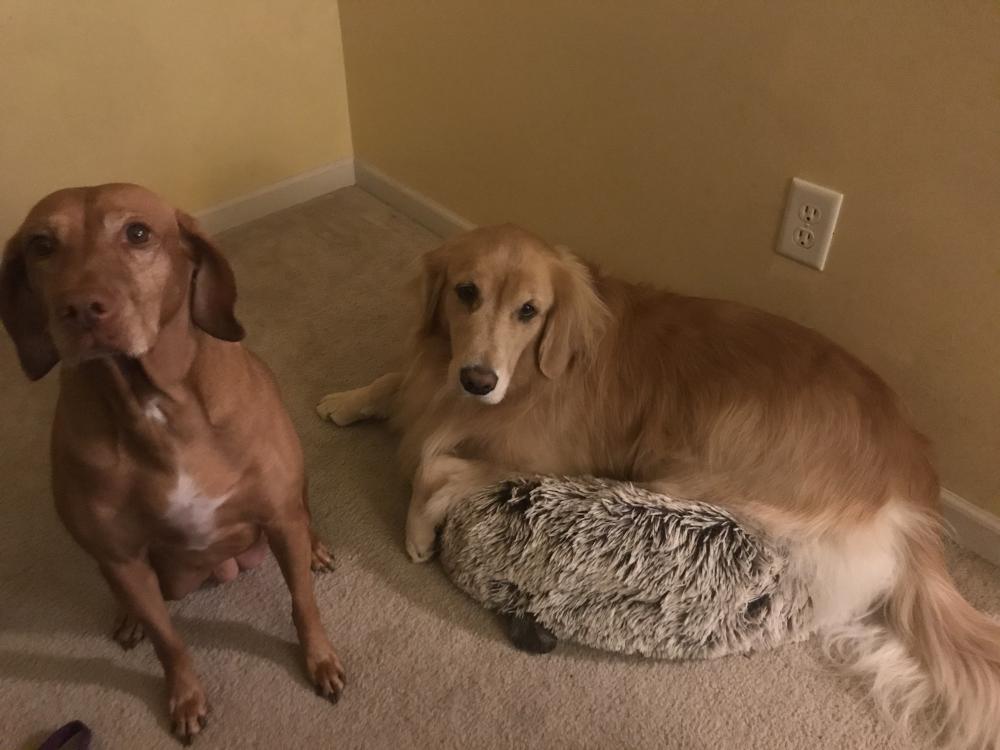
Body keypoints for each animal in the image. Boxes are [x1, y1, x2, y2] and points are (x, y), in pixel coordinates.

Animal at [0, 184, 344, 748]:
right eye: (42, 245)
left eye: (138, 233)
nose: (81, 309)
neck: (151, 404)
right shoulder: (122, 559)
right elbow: (170, 640)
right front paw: (184, 696)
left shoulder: (278, 516)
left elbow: (303, 603)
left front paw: (320, 661)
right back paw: (129, 618)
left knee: (306, 519)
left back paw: (316, 548)